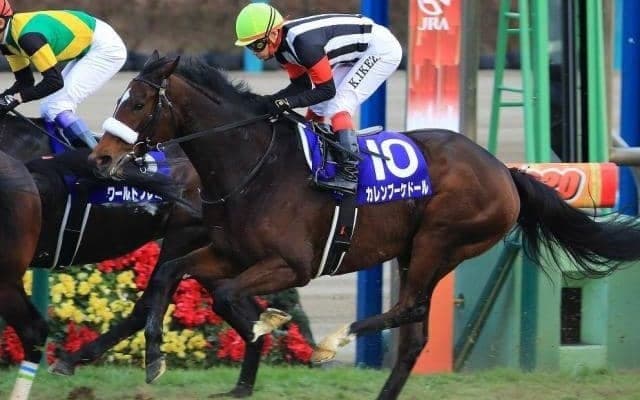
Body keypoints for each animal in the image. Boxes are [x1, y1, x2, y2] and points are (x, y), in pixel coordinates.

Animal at [89, 52, 640, 400]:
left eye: (137, 103)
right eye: (119, 100)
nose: (100, 158)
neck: (255, 165)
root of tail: (505, 171)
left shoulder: (293, 265)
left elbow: (226, 296)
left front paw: (267, 328)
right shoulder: (228, 253)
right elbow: (170, 275)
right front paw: (157, 358)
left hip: (439, 241)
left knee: (408, 308)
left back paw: (331, 343)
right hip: (415, 250)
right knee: (414, 335)